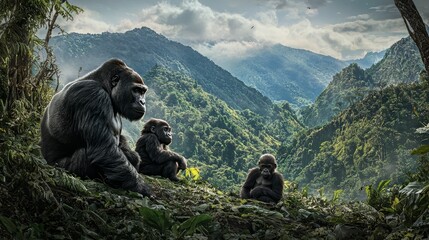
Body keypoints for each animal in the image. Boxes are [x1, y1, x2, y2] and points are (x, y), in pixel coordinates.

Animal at [40, 58, 150, 197]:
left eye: (143, 92)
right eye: (136, 90)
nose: (142, 102)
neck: (104, 85)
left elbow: (122, 142)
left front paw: (132, 156)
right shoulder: (92, 95)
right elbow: (104, 148)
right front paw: (139, 186)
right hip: (60, 168)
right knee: (84, 155)